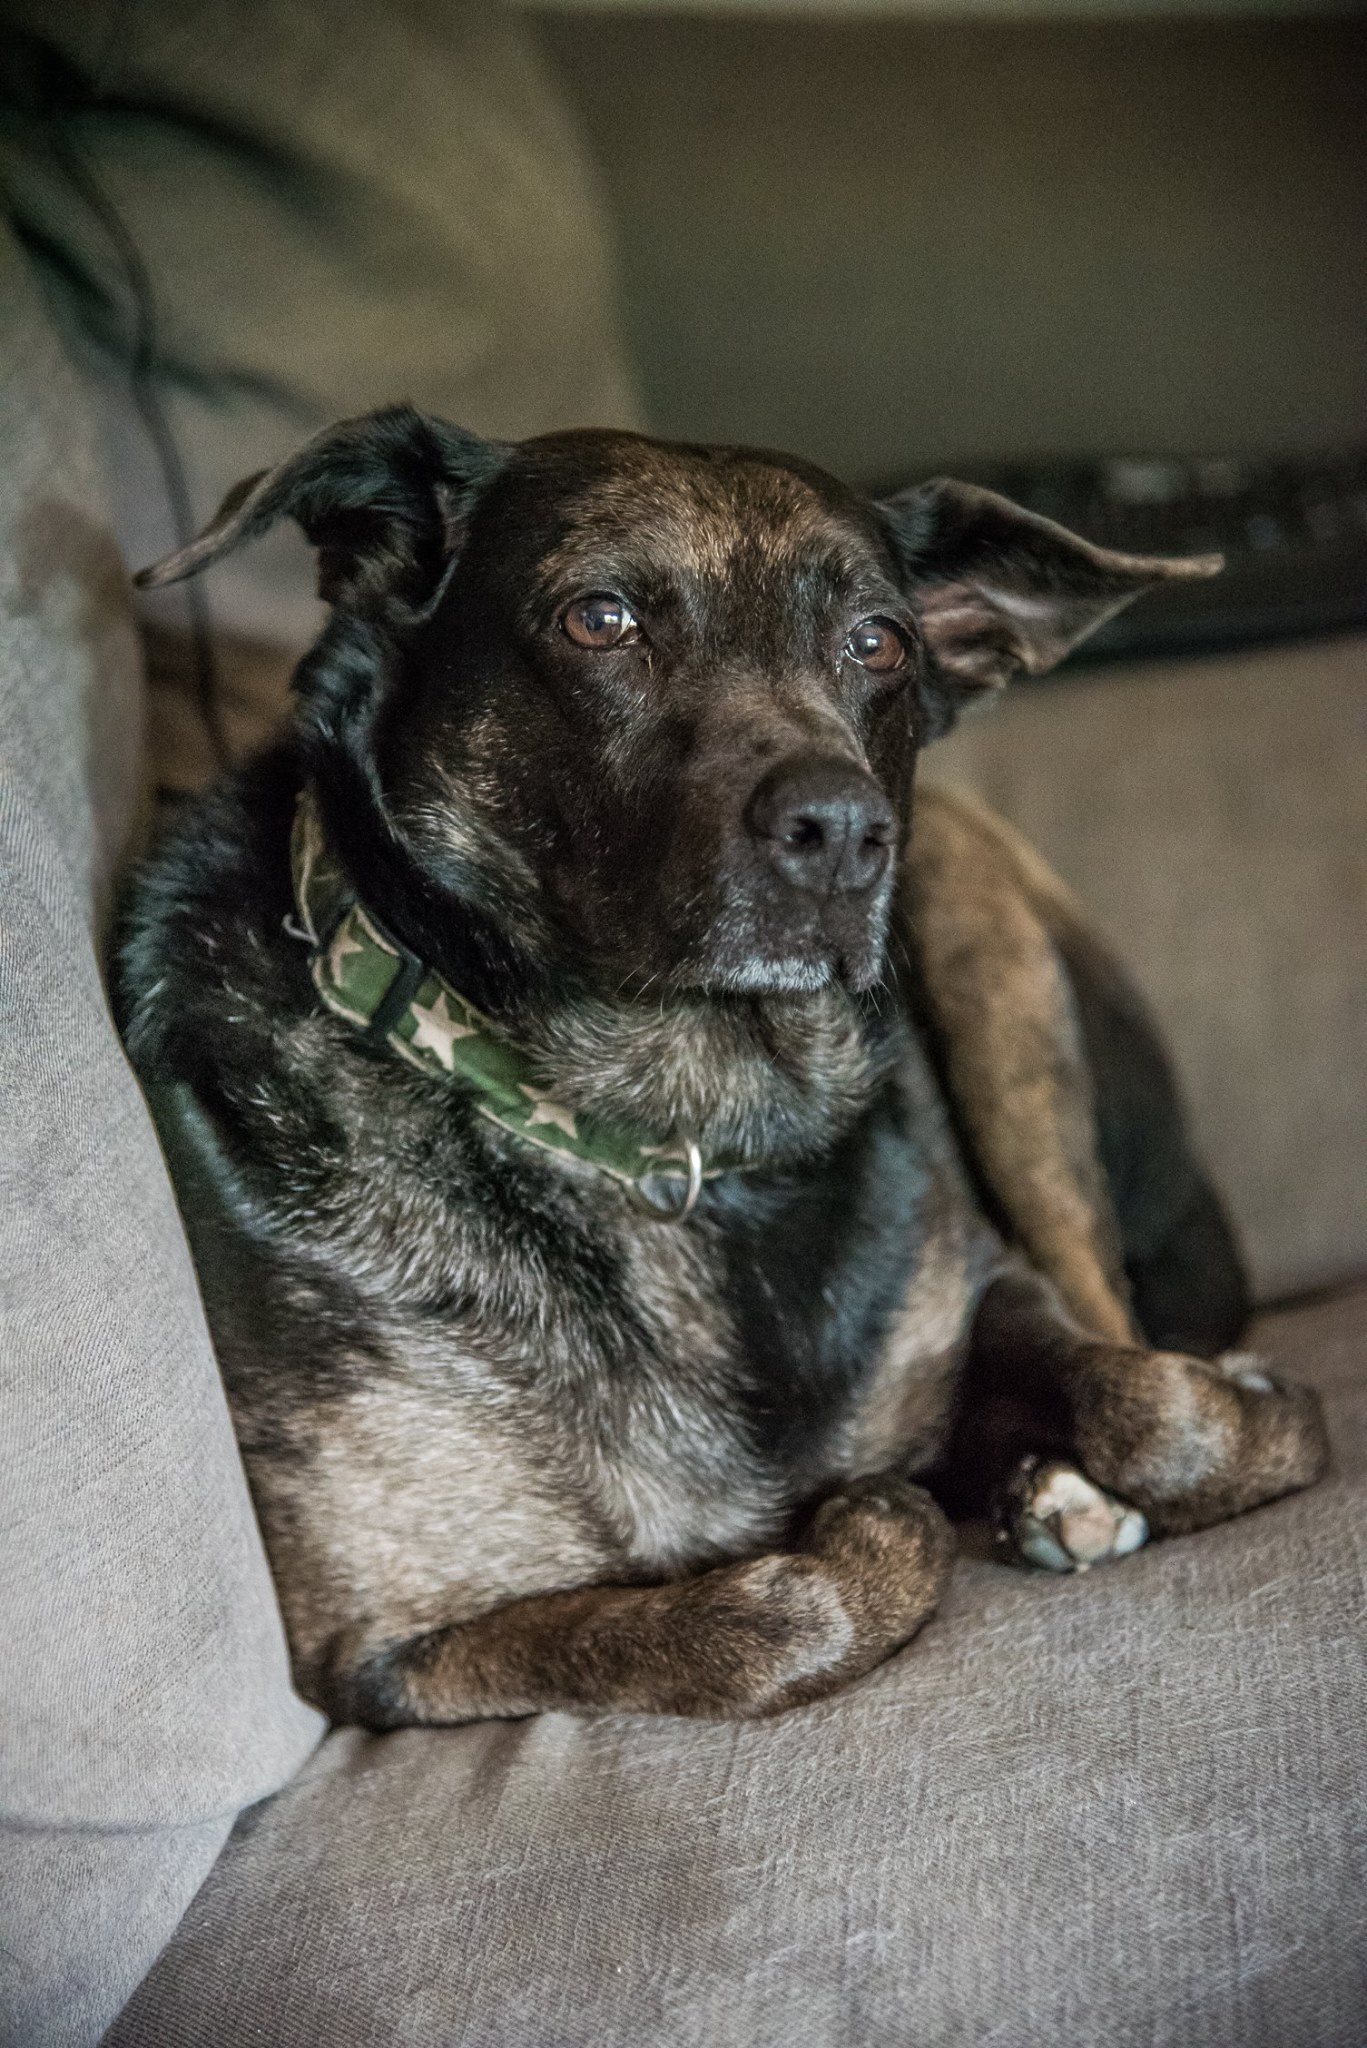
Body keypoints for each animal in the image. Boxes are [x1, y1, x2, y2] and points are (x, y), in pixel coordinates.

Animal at [114, 407, 1328, 1720]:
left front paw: (1252, 1416)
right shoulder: (389, 1647)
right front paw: (885, 1519)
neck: (664, 1119)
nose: (843, 832)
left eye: (877, 641)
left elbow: (1149, 1397)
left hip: (983, 944)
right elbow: (773, 1615)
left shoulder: (981, 1285)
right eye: (600, 619)